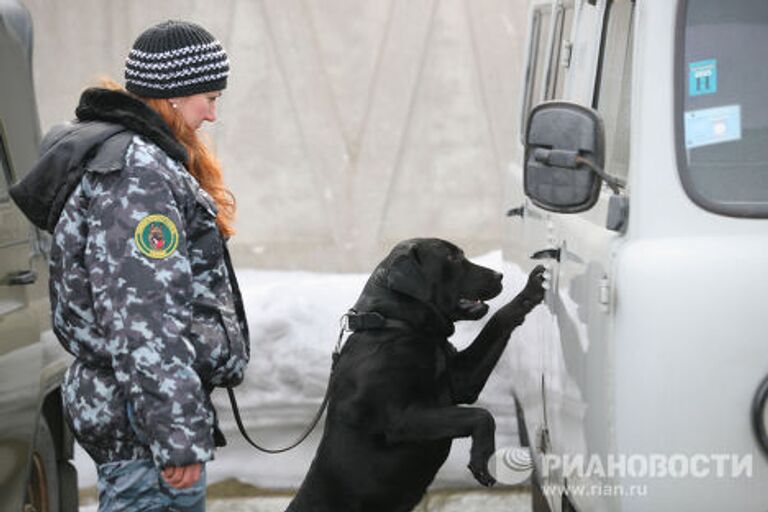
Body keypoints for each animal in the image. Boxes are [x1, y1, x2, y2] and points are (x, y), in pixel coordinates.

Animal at [288, 238, 544, 510]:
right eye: (452, 258)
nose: (499, 275)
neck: (400, 326)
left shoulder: (461, 381)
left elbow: (498, 320)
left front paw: (531, 290)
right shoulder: (401, 420)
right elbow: (481, 415)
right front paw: (481, 458)